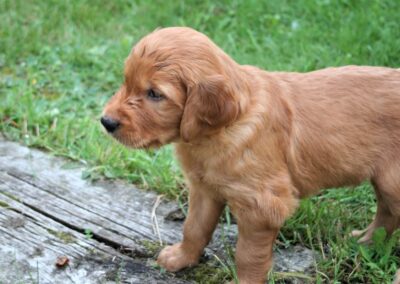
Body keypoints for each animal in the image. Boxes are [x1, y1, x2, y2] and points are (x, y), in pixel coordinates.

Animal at [101, 27, 400, 284]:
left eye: (154, 94)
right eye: (126, 81)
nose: (106, 122)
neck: (221, 131)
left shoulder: (262, 206)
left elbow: (248, 256)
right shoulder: (205, 189)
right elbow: (194, 227)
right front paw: (180, 257)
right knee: (387, 213)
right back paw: (365, 241)